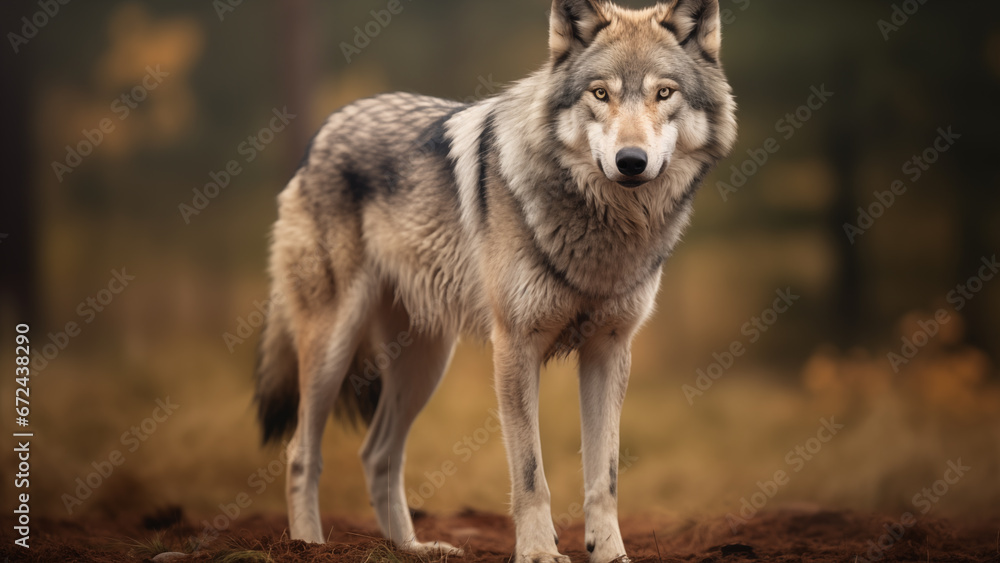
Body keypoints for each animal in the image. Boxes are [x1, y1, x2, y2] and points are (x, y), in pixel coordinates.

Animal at [255, 1, 736, 561]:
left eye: (664, 93)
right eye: (600, 94)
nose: (631, 161)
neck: (603, 232)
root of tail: (324, 131)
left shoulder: (609, 350)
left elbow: (606, 476)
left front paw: (610, 552)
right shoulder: (515, 346)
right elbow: (530, 473)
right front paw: (539, 551)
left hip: (423, 364)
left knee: (377, 453)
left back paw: (413, 549)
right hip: (333, 346)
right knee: (300, 451)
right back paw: (308, 543)